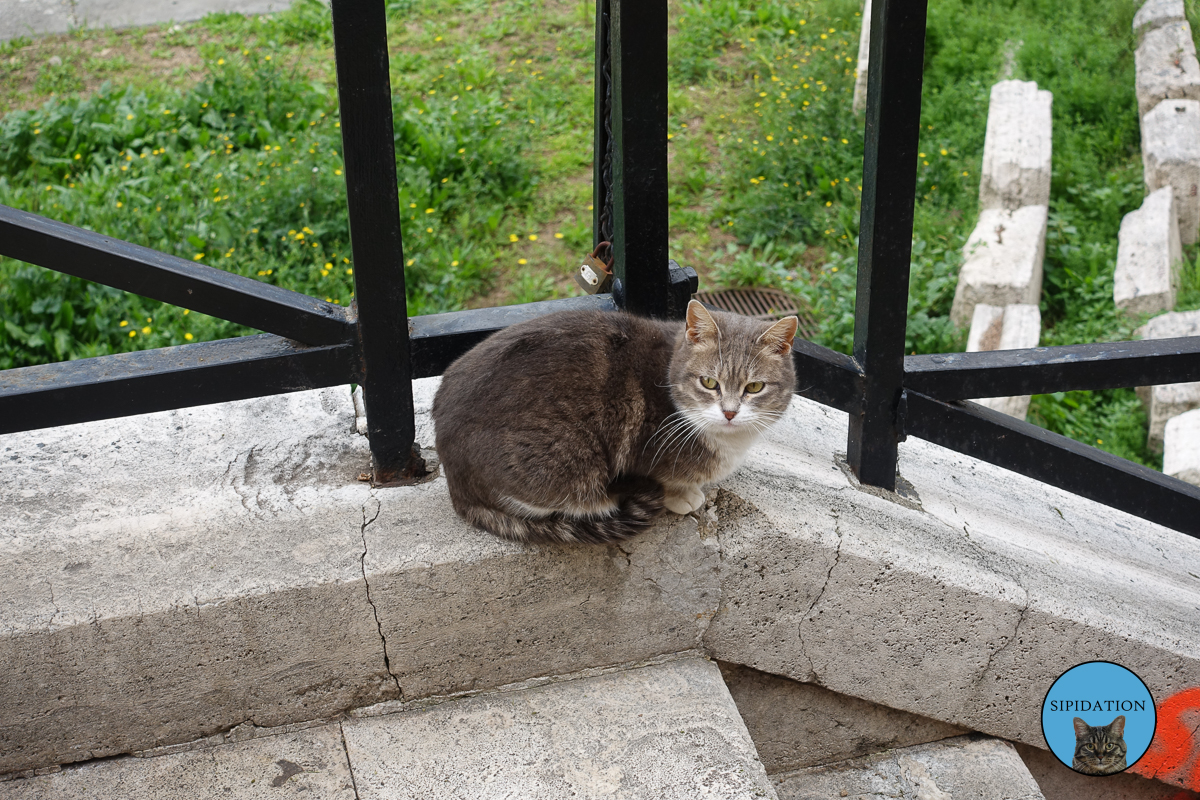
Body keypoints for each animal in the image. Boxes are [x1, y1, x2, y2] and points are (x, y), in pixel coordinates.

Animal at [432, 299, 796, 544]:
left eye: (754, 387)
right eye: (709, 383)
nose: (730, 413)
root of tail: (456, 484)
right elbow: (667, 480)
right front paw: (683, 495)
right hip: (569, 461)